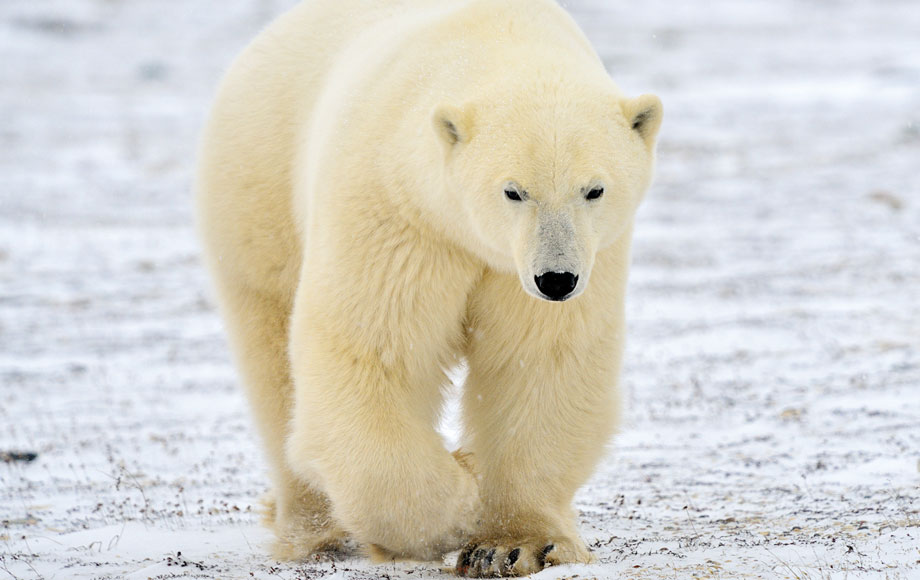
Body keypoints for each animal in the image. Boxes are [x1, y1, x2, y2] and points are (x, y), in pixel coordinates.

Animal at [198, 0, 660, 572]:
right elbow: (373, 352)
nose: (556, 279)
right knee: (272, 358)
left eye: (594, 189)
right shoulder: (398, 214)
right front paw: (456, 510)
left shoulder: (564, 260)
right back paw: (312, 529)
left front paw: (516, 544)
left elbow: (540, 361)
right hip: (258, 192)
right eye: (513, 191)